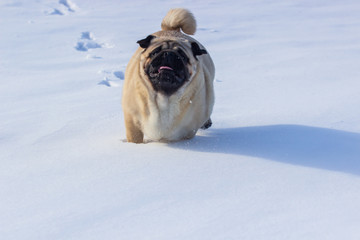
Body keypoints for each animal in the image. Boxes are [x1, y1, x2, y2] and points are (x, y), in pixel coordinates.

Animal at [122, 8, 215, 142]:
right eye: (155, 52)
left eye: (183, 56)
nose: (168, 54)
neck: (164, 98)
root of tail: (172, 30)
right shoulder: (132, 121)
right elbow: (135, 139)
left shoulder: (188, 131)